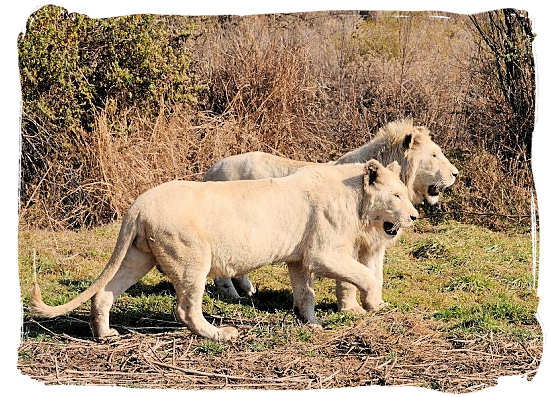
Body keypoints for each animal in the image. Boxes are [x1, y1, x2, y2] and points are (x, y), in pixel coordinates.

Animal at [30, 160, 418, 340]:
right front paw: (373, 304)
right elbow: (365, 274)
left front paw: (311, 323)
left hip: (140, 256)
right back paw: (221, 334)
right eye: (397, 195)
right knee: (186, 309)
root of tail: (137, 206)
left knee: (105, 292)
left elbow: (304, 293)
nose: (415, 215)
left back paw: (106, 334)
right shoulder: (323, 253)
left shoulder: (299, 257)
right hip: (191, 256)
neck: (356, 199)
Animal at [205, 116, 460, 308]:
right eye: (435, 155)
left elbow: (375, 273)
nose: (456, 174)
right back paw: (231, 294)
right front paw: (351, 309)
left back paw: (248, 290)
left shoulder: (374, 243)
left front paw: (378, 304)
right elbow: (350, 278)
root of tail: (211, 169)